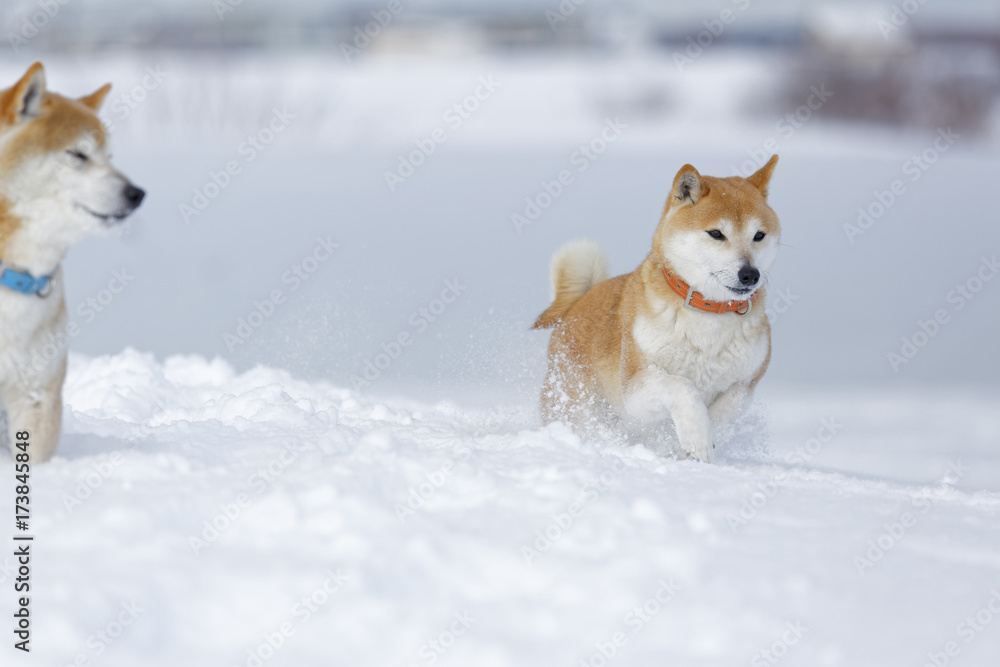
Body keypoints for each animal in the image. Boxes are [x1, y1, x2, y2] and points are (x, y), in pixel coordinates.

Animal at [532, 155, 780, 464]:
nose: (750, 274)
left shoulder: (745, 385)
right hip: (575, 403)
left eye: (759, 235)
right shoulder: (635, 389)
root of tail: (578, 302)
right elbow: (683, 388)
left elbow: (724, 413)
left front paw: (701, 443)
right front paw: (698, 437)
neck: (709, 313)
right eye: (716, 233)